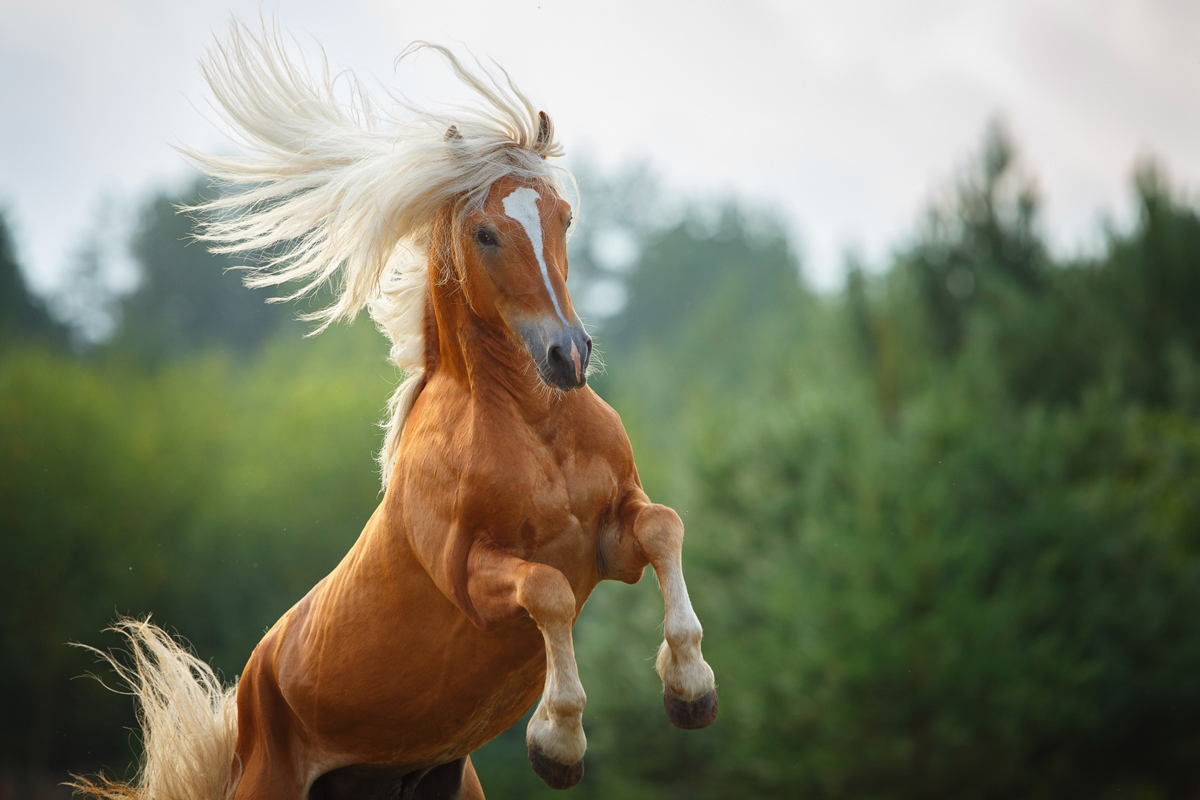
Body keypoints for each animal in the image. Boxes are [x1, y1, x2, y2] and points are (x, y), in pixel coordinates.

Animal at [79, 23, 715, 800]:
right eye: (485, 233)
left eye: (564, 217)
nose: (568, 355)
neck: (536, 431)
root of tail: (250, 696)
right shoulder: (475, 579)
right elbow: (549, 591)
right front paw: (558, 742)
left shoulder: (611, 538)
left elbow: (664, 526)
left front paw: (691, 689)